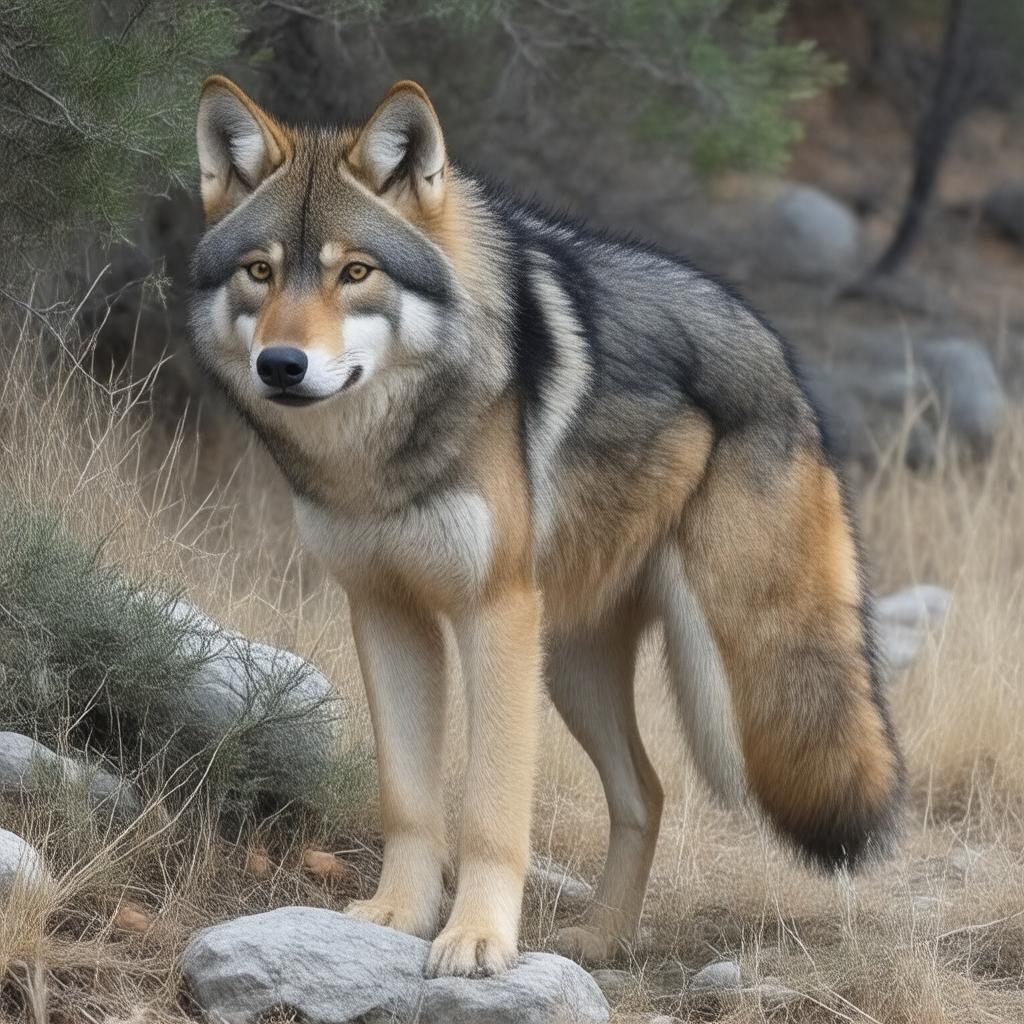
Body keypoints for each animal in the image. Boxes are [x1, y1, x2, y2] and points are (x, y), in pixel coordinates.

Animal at [191, 75, 904, 977]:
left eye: (355, 273)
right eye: (260, 271)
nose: (281, 366)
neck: (378, 461)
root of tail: (782, 357)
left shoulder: (494, 614)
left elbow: (491, 812)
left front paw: (476, 939)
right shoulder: (386, 613)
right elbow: (410, 800)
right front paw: (395, 916)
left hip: (728, 668)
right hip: (572, 667)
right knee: (647, 791)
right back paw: (601, 939)